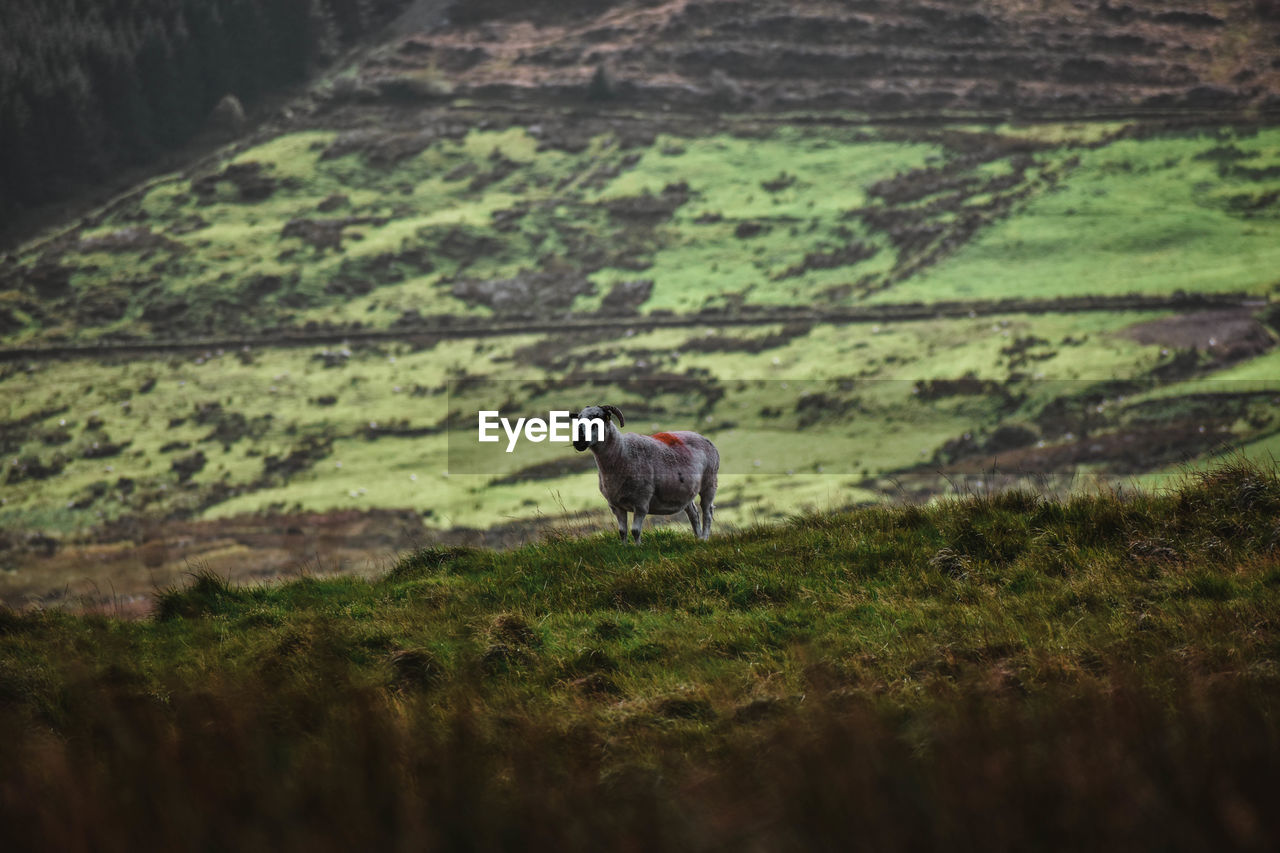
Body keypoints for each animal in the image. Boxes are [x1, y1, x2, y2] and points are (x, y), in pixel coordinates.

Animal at [573, 402, 721, 540]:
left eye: (597, 418)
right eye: (578, 418)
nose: (578, 442)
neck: (622, 451)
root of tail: (704, 438)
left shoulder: (641, 502)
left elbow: (635, 531)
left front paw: (638, 548)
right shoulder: (616, 506)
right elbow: (622, 532)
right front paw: (625, 547)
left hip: (710, 483)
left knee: (707, 513)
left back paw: (704, 539)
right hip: (686, 492)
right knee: (693, 514)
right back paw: (698, 539)